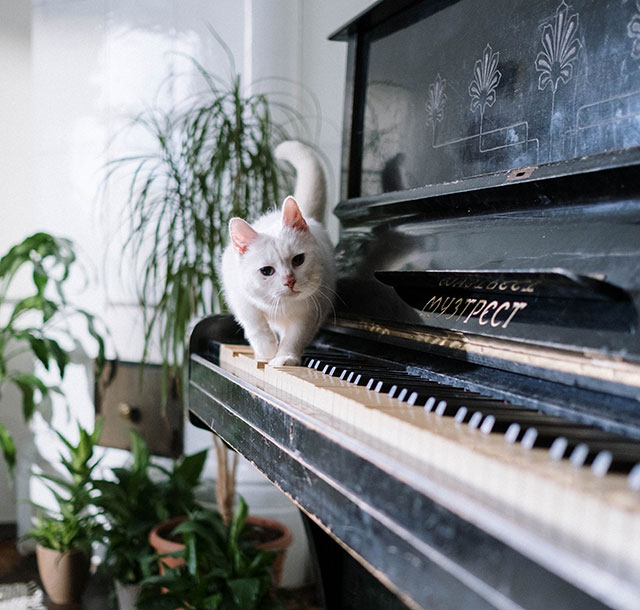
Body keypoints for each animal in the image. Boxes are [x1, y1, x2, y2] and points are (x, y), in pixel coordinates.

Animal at [221, 140, 336, 364]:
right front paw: (266, 351)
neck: (283, 306)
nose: (289, 281)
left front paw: (285, 358)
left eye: (298, 260)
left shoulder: (310, 313)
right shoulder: (238, 295)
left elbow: (295, 337)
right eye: (266, 271)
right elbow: (255, 322)